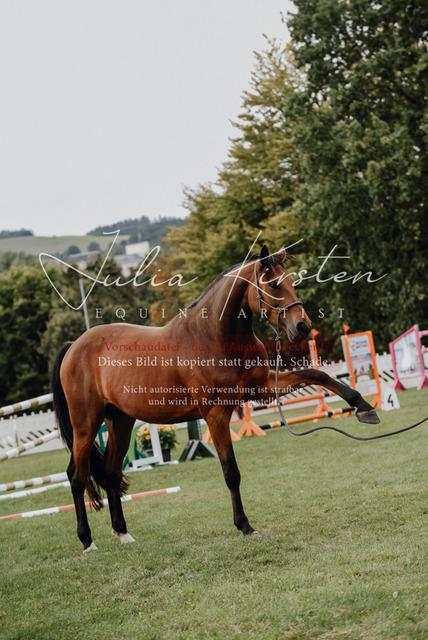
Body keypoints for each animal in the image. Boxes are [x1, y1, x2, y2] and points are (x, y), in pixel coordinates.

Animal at [51, 245, 379, 552]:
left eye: (292, 282)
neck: (213, 336)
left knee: (110, 473)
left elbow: (317, 375)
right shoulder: (216, 415)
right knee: (76, 476)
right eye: (274, 285)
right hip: (86, 425)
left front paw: (363, 406)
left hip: (121, 421)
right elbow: (231, 473)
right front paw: (244, 525)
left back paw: (123, 534)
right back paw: (87, 541)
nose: (302, 327)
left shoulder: (261, 388)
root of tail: (73, 346)